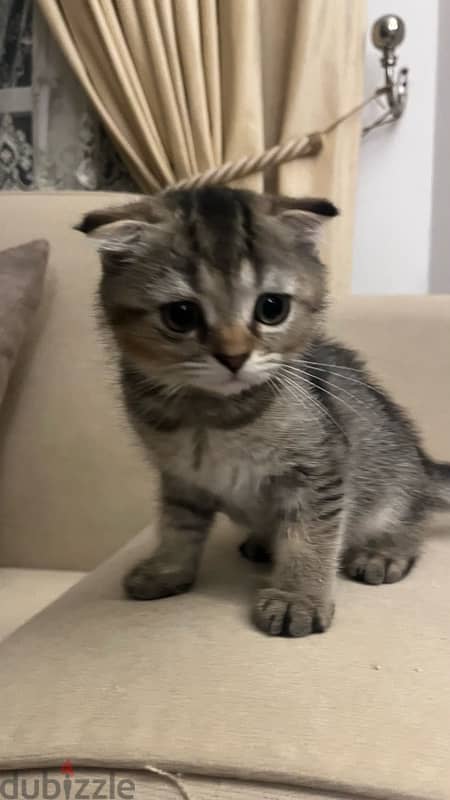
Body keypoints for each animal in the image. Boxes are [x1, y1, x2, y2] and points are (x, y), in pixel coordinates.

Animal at [76, 188, 450, 636]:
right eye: (181, 315)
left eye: (272, 308)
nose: (233, 356)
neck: (210, 417)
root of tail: (423, 464)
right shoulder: (180, 477)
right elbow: (178, 525)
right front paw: (167, 569)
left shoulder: (321, 467)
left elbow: (310, 536)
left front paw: (298, 597)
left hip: (390, 484)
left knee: (410, 517)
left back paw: (385, 551)